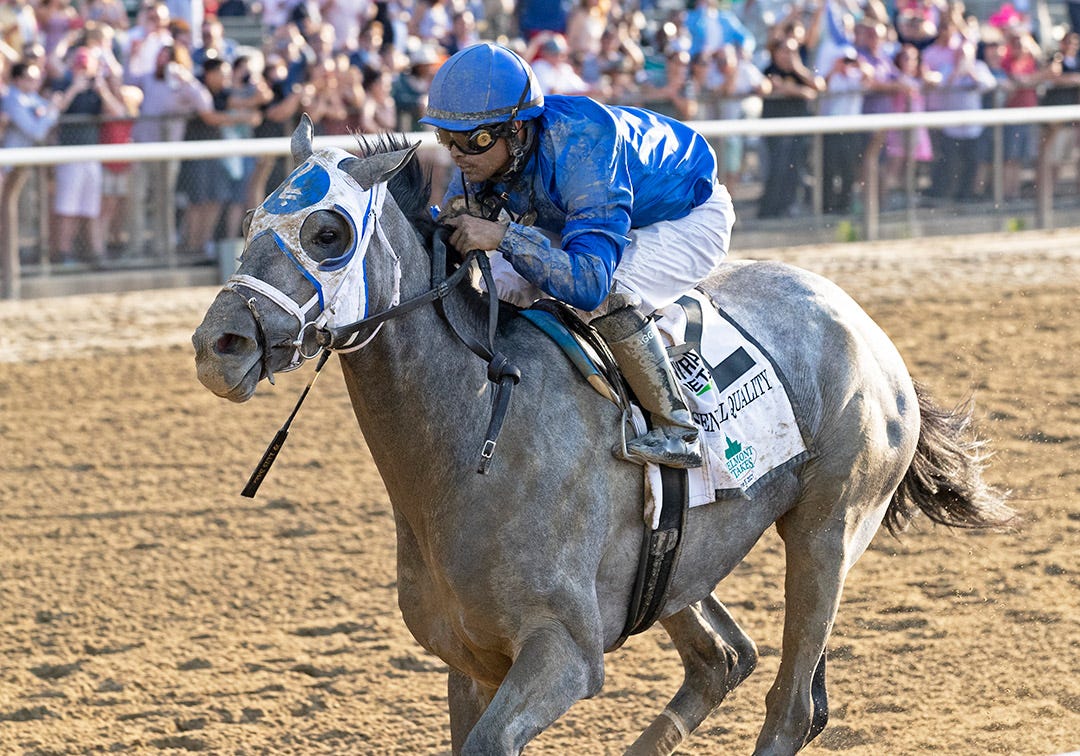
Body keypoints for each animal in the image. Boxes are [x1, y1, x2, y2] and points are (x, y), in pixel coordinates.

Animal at [192, 117, 1013, 755]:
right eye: (252, 223)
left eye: (327, 233)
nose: (217, 344)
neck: (472, 446)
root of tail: (861, 321)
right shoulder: (470, 658)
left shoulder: (563, 651)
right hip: (678, 559)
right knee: (725, 658)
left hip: (827, 532)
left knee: (791, 702)